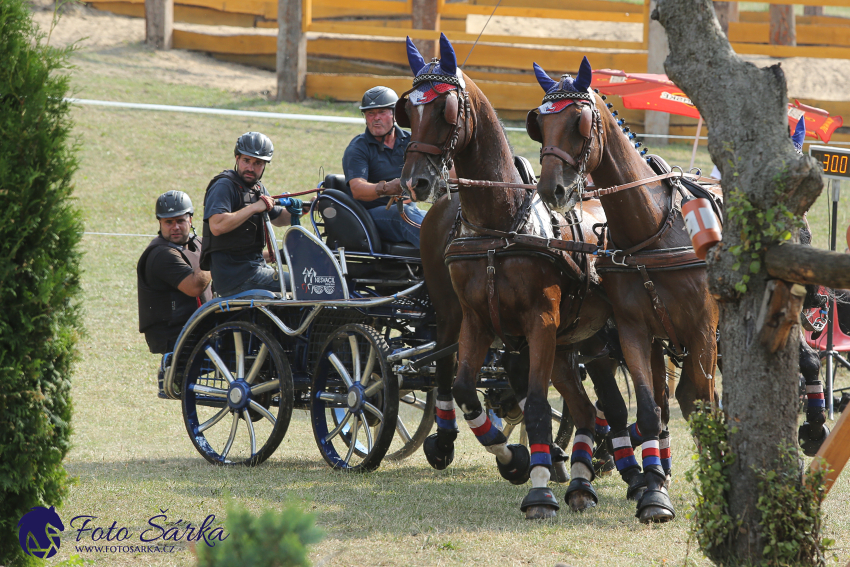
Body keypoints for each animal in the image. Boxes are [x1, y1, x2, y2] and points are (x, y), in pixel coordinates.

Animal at [398, 34, 616, 520]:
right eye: (408, 111)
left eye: (444, 111)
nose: (416, 182)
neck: (500, 226)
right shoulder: (476, 320)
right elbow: (464, 389)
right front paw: (514, 459)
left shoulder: (542, 323)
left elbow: (535, 406)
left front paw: (538, 491)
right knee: (584, 408)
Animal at [528, 58, 716, 524]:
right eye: (540, 123)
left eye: (578, 122)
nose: (552, 189)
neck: (653, 229)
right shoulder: (633, 329)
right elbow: (648, 412)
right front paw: (655, 494)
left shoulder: (703, 328)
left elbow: (701, 403)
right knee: (667, 402)